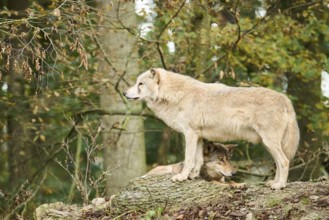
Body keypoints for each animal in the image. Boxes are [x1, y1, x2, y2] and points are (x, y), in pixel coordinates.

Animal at [123, 68, 298, 189]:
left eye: (140, 84)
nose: (124, 93)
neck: (175, 95)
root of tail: (285, 98)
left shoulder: (190, 134)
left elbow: (189, 159)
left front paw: (181, 177)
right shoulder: (199, 136)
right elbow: (199, 160)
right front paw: (193, 176)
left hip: (270, 142)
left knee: (284, 161)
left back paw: (280, 186)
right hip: (268, 144)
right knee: (279, 162)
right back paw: (273, 182)